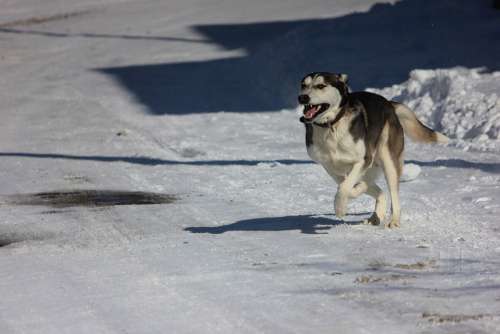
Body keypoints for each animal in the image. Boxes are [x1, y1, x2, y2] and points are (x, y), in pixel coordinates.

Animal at [298, 72, 448, 228]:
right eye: (303, 85)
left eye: (321, 86)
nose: (302, 97)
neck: (332, 125)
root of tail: (388, 103)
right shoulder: (330, 167)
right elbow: (346, 185)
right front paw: (355, 192)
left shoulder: (364, 159)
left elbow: (345, 188)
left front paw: (340, 208)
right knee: (379, 191)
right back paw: (376, 214)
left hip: (388, 161)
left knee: (392, 193)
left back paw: (394, 220)